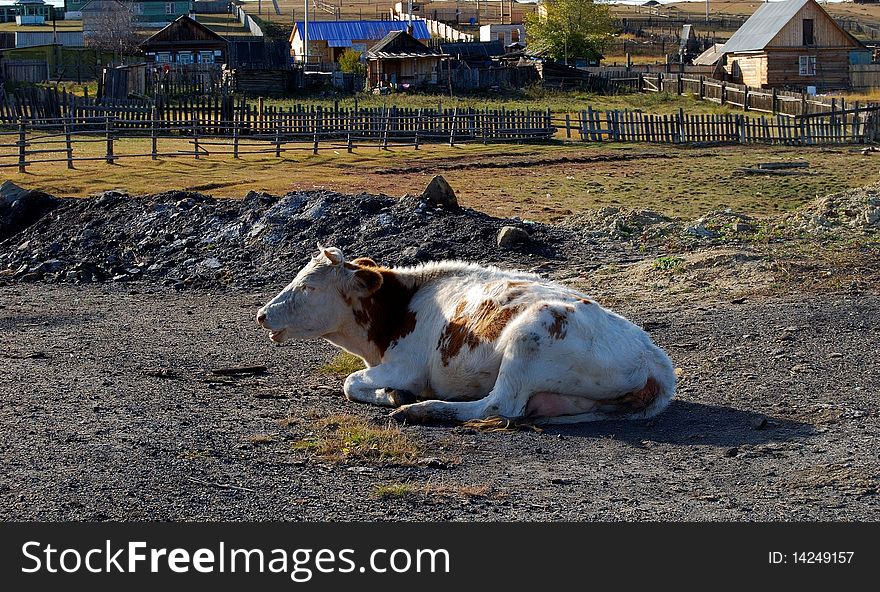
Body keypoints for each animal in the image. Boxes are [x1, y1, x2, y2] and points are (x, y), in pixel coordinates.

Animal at [258, 245, 676, 426]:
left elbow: (350, 382)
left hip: (530, 334)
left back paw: (423, 410)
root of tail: (655, 357)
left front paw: (396, 395)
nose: (262, 315)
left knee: (499, 405)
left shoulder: (406, 366)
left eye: (309, 286)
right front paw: (391, 394)